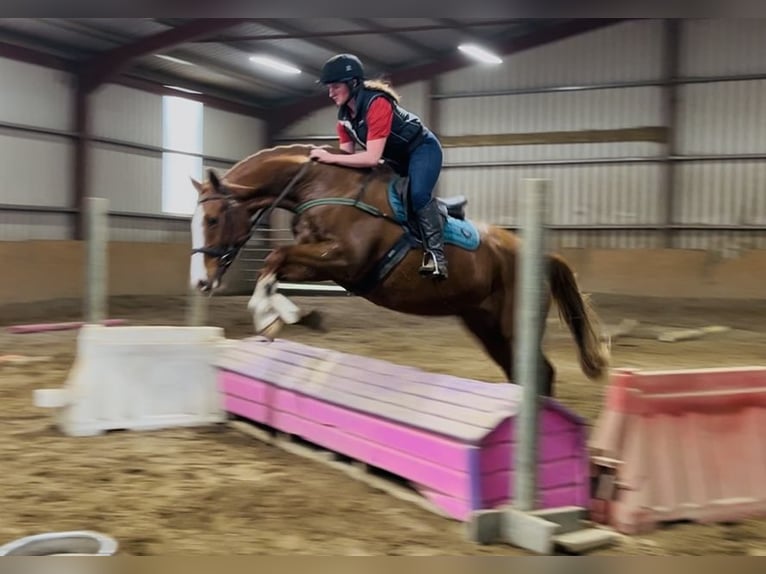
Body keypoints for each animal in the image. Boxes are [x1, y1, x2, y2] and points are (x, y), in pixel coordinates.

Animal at [189, 144, 609, 397]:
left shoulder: (346, 259)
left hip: (514, 326)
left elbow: (275, 256)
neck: (321, 186)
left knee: (541, 372)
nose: (201, 282)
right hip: (486, 326)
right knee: (524, 373)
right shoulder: (326, 264)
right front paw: (290, 316)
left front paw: (275, 317)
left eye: (212, 219)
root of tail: (541, 256)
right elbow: (275, 265)